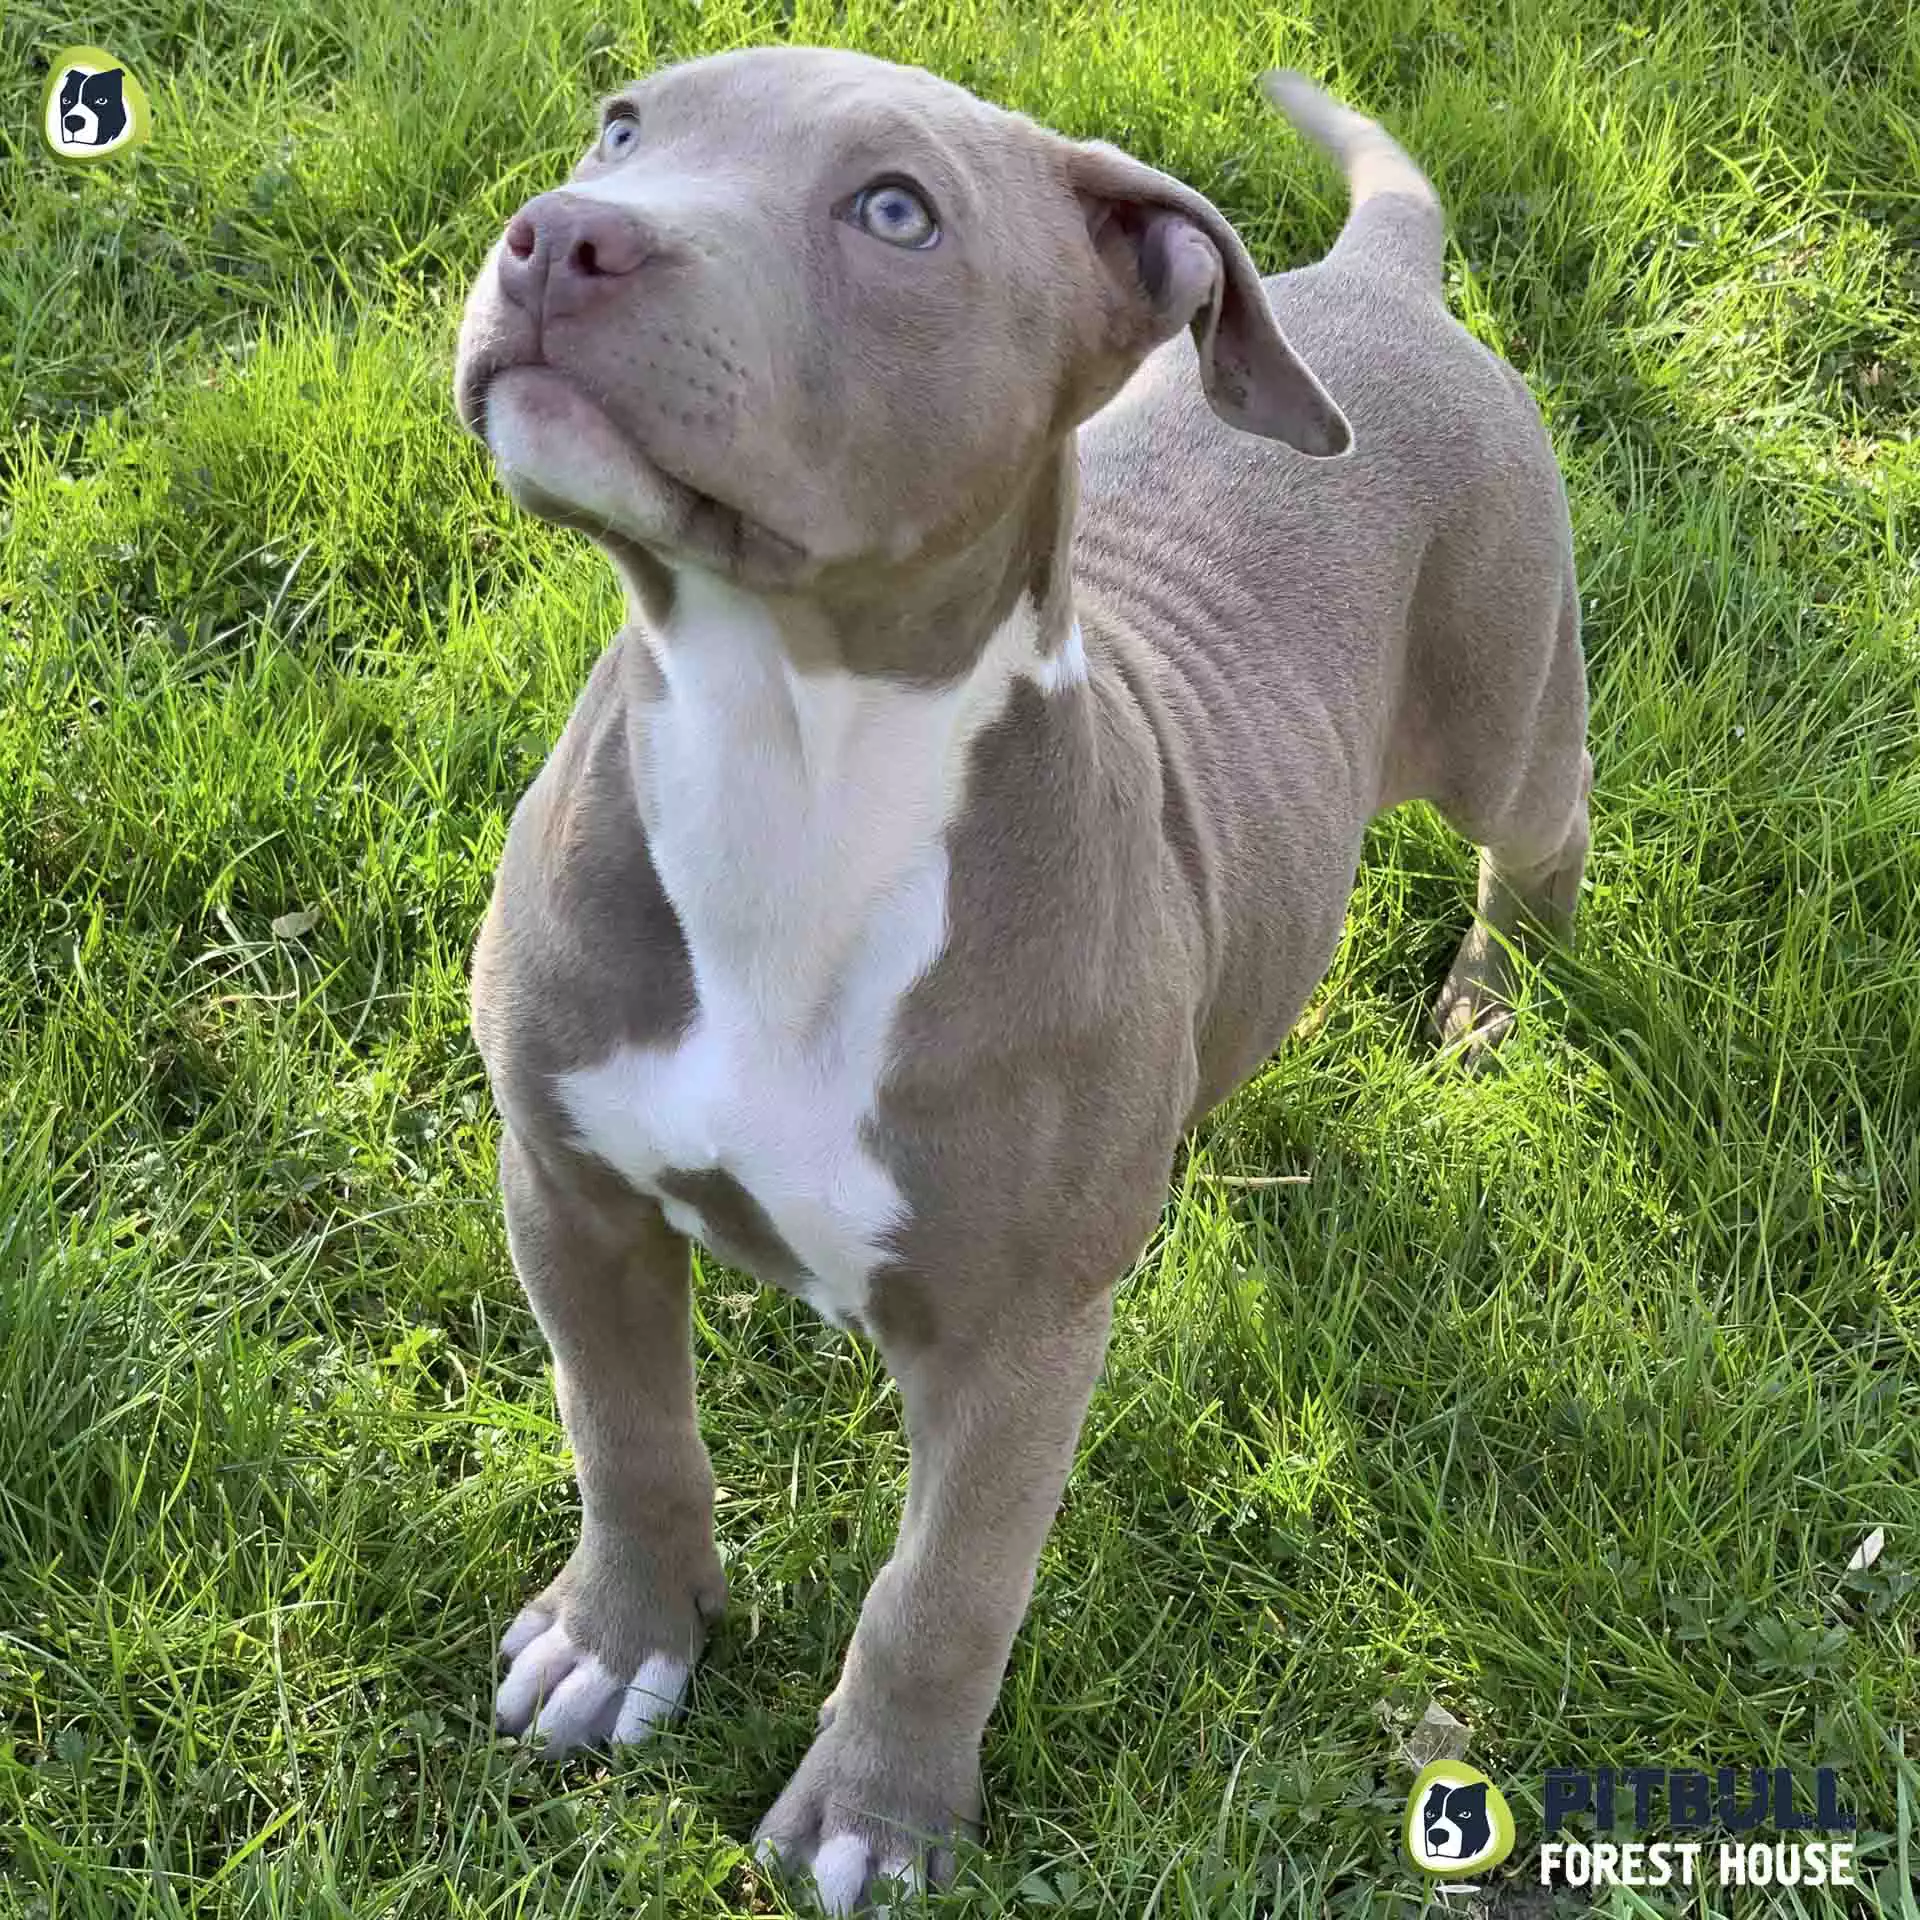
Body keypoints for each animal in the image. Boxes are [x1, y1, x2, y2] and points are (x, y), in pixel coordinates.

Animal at [453, 45, 1589, 1904]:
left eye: (895, 211)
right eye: (623, 126)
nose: (560, 236)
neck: (787, 751)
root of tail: (1378, 282)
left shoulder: (1018, 1344)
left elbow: (941, 1597)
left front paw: (876, 1822)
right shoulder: (567, 1183)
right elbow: (622, 1436)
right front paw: (618, 1644)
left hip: (1506, 692)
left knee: (1547, 821)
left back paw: (1498, 1003)